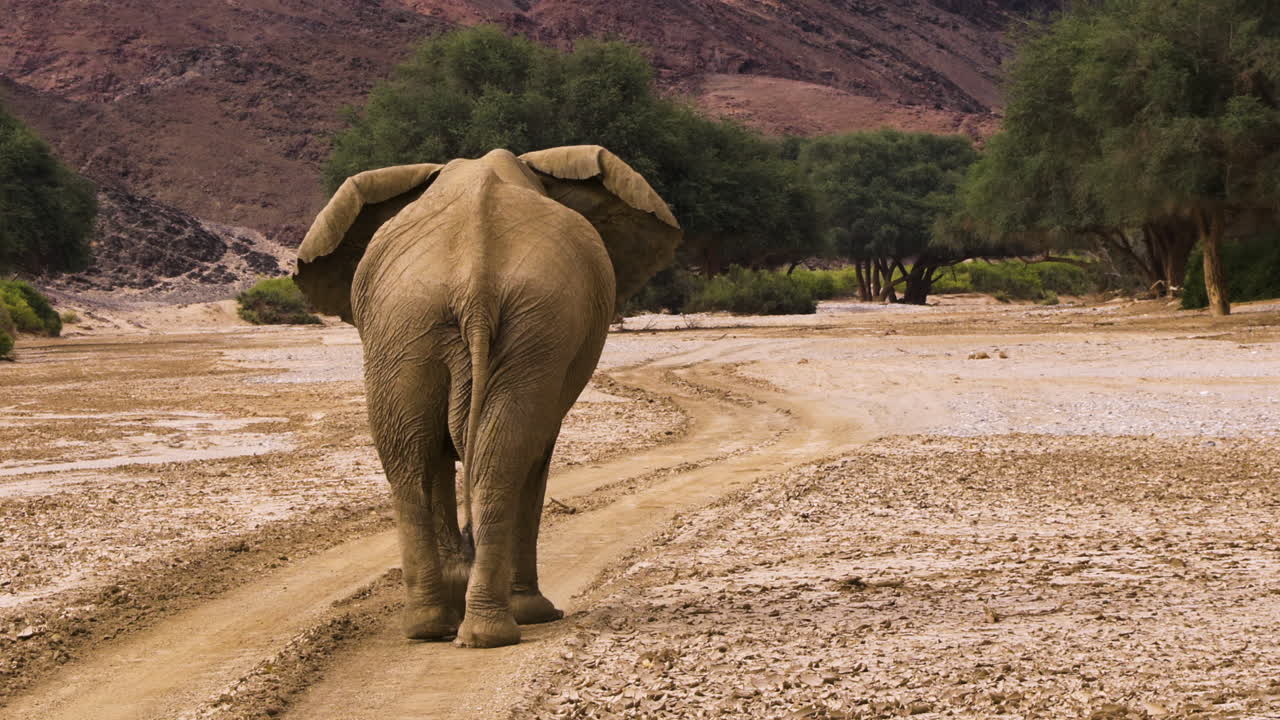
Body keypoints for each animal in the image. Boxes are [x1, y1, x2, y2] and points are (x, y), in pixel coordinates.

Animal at [294, 146, 681, 648]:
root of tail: (474, 280)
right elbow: (530, 455)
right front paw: (530, 611)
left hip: (423, 326)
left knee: (419, 460)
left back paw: (443, 628)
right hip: (468, 325)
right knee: (485, 457)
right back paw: (493, 625)